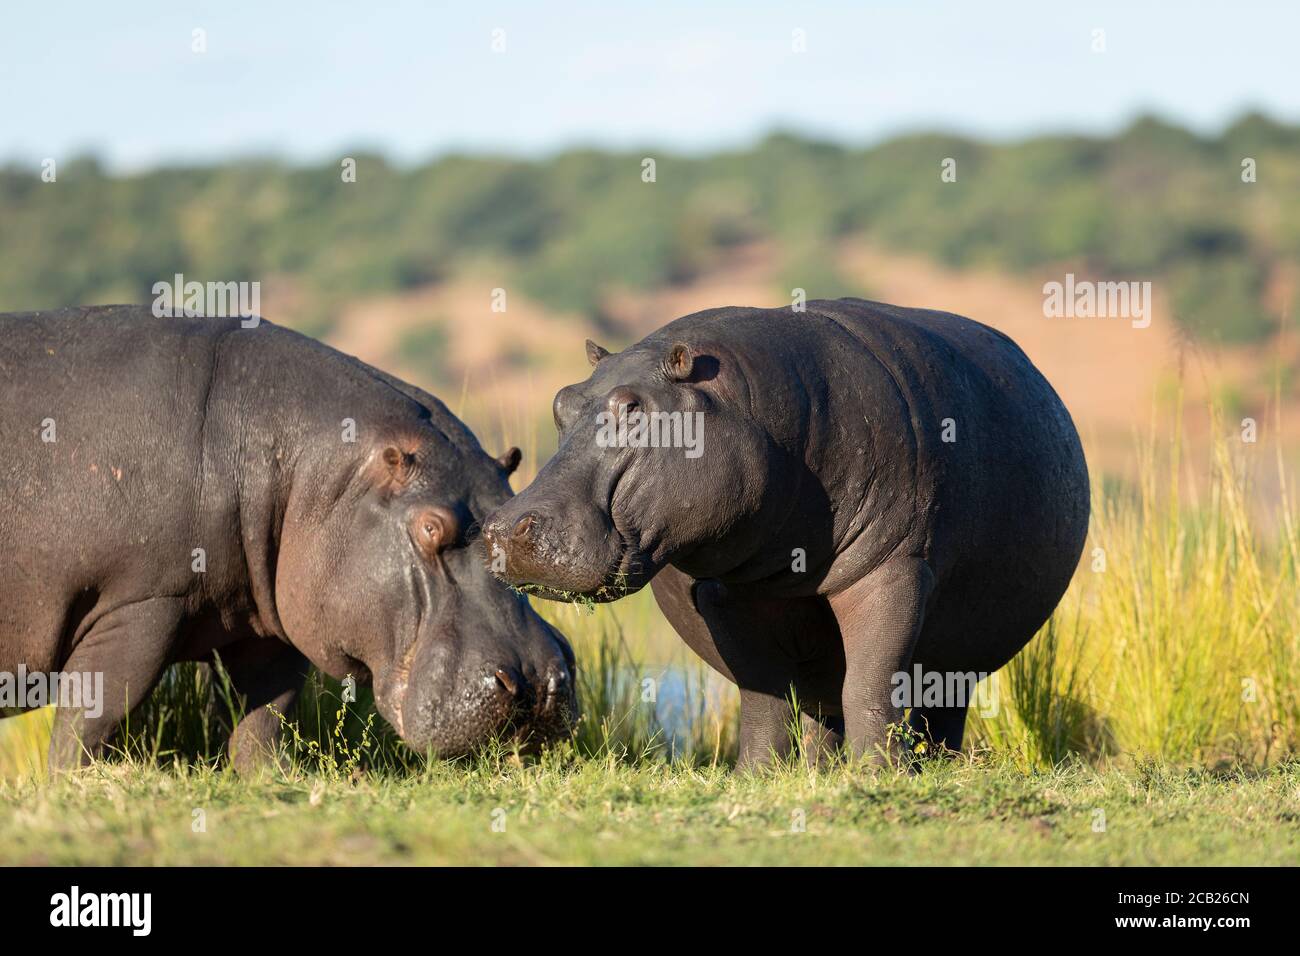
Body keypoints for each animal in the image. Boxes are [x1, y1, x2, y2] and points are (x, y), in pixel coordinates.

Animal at [0, 306, 579, 770]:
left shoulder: (268, 622)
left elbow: (262, 717)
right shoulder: (141, 602)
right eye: (430, 528)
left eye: (510, 513)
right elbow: (91, 715)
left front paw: (272, 782)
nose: (539, 685)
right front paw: (72, 786)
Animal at [483, 295, 1092, 764]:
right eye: (561, 401)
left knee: (930, 705)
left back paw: (929, 766)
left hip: (961, 656)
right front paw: (756, 775)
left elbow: (873, 682)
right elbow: (763, 695)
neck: (745, 406)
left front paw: (879, 773)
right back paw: (822, 771)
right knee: (824, 707)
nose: (505, 527)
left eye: (632, 407)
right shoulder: (724, 593)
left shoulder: (893, 569)